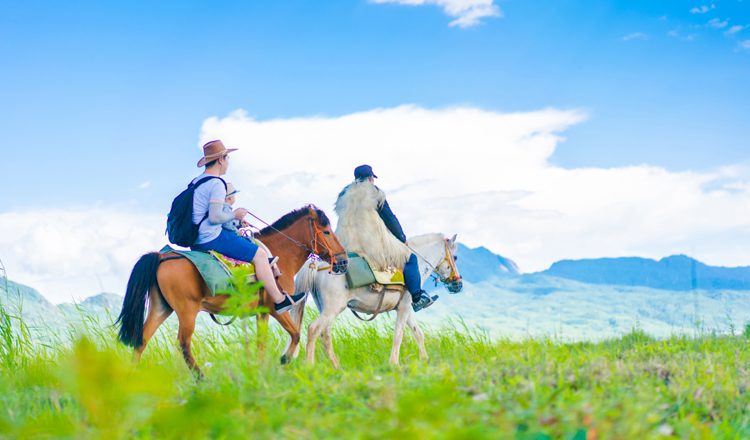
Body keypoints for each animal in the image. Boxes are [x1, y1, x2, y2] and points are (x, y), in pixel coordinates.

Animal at [115, 205, 350, 372]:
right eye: (326, 232)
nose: (344, 261)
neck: (277, 254)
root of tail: (163, 257)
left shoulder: (262, 312)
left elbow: (262, 342)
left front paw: (261, 371)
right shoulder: (277, 308)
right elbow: (296, 334)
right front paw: (285, 358)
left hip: (161, 307)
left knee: (141, 340)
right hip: (187, 311)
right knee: (183, 343)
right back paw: (200, 378)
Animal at [290, 234, 462, 368]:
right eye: (455, 257)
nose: (457, 285)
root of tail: (318, 265)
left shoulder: (405, 307)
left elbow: (417, 333)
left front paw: (425, 360)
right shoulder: (404, 308)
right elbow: (398, 335)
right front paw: (394, 364)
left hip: (325, 309)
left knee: (325, 336)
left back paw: (338, 368)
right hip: (332, 309)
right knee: (313, 329)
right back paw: (310, 366)